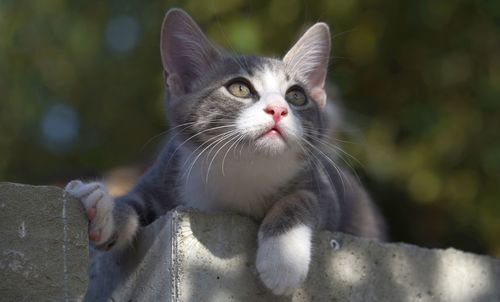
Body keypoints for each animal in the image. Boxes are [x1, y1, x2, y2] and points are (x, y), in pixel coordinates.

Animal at [65, 8, 386, 296]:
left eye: (296, 96)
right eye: (240, 88)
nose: (278, 109)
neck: (240, 170)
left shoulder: (327, 190)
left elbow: (301, 199)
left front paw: (282, 260)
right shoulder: (166, 171)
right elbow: (135, 202)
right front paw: (103, 208)